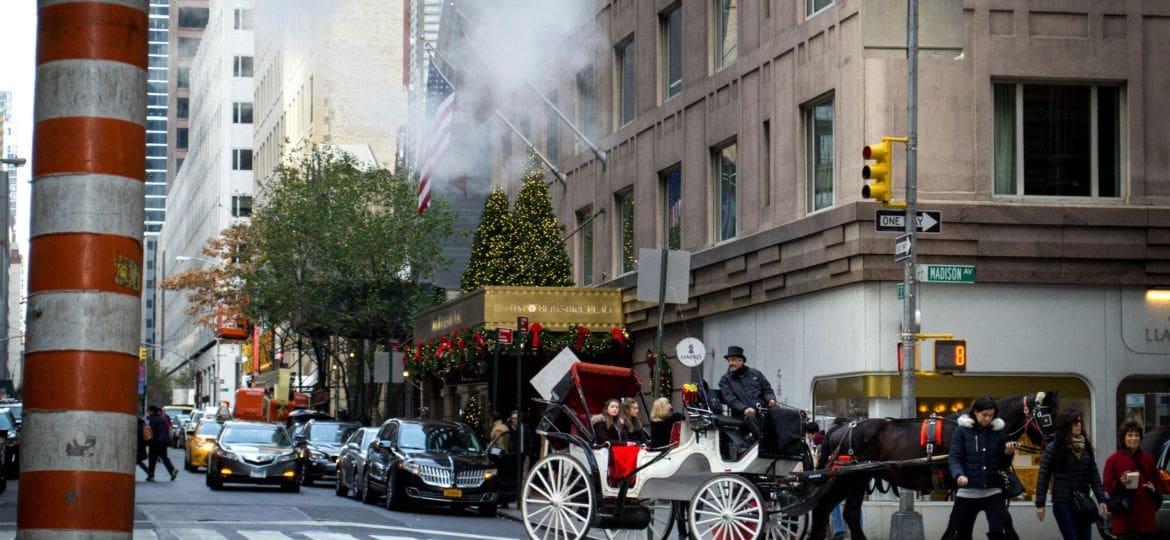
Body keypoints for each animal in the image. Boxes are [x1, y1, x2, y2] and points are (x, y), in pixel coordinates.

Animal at [804, 392, 1062, 540]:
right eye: (1046, 417)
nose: (1055, 444)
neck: (979, 429)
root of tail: (841, 428)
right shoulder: (962, 484)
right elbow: (958, 519)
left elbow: (994, 518)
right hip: (851, 478)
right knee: (831, 509)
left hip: (854, 479)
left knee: (839, 511)